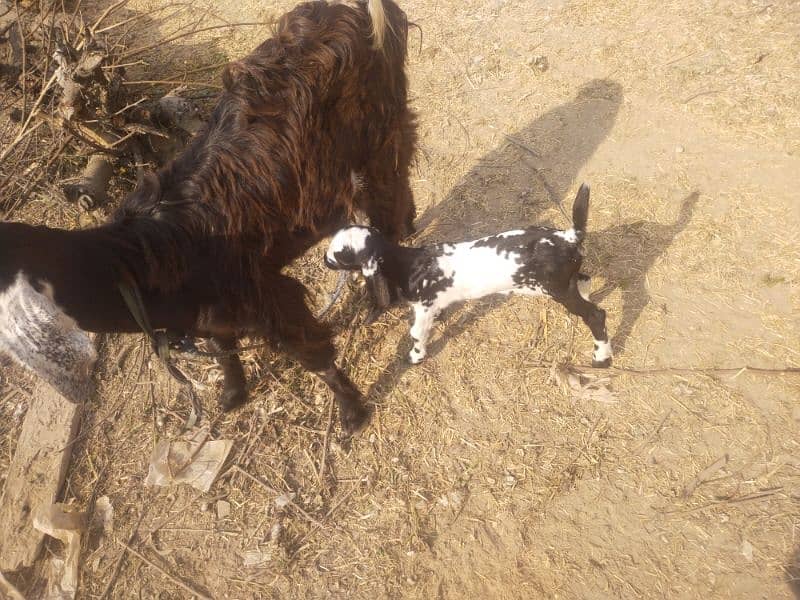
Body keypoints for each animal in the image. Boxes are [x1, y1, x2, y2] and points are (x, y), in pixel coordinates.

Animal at [0, 0, 412, 434]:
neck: (141, 260)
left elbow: (308, 350)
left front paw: (352, 412)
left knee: (388, 191)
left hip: (377, 135)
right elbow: (221, 343)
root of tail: (351, 13)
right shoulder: (216, 310)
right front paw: (233, 394)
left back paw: (385, 287)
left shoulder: (264, 293)